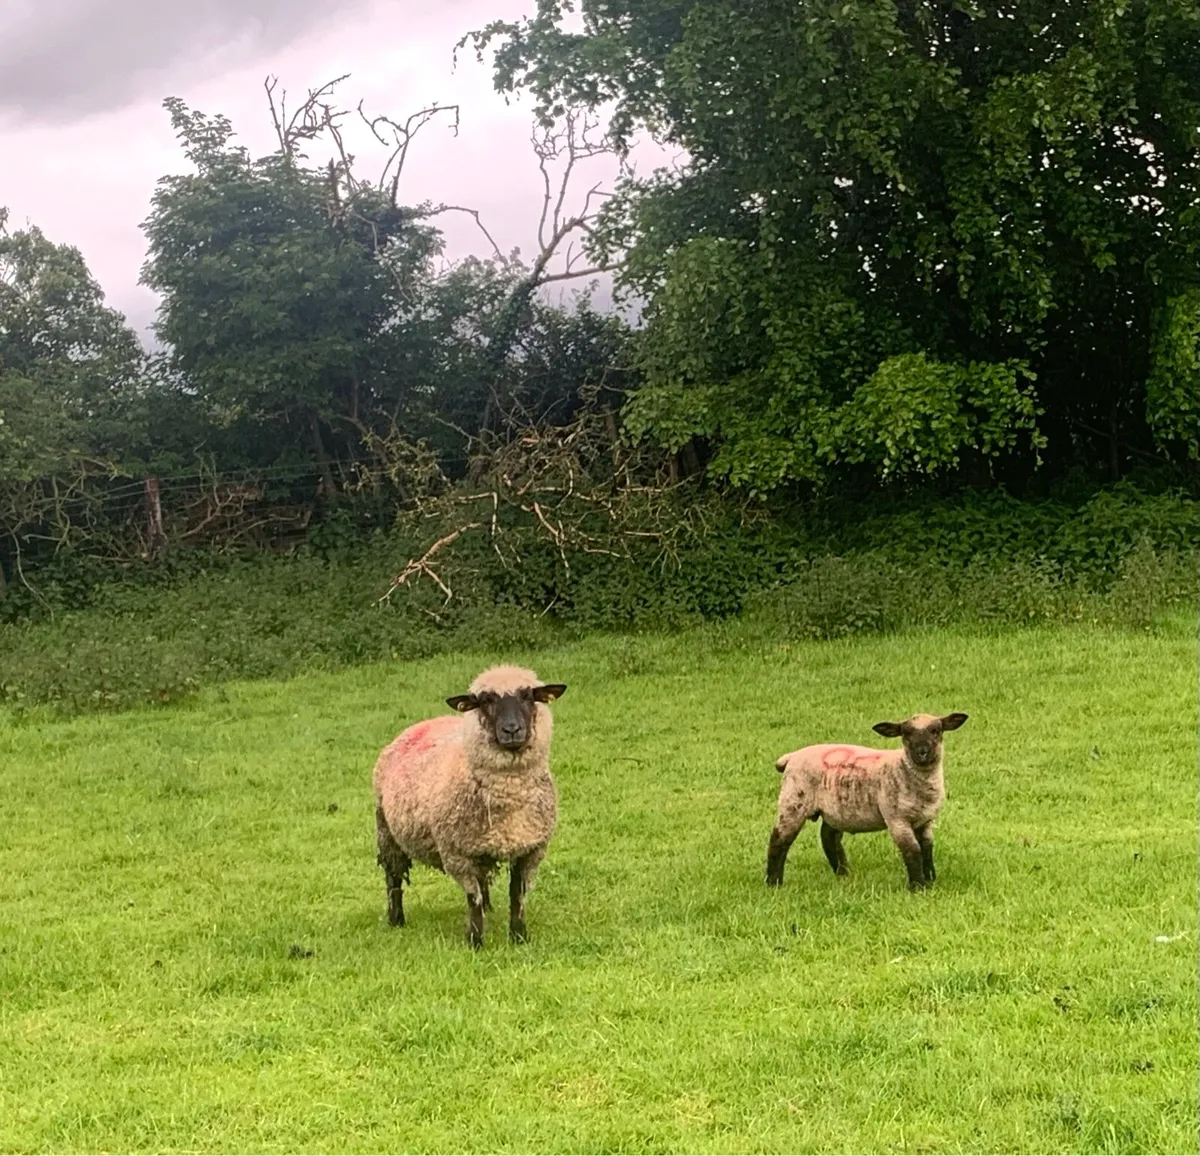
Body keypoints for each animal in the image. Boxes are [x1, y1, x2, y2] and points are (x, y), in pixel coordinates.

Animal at [373, 665, 567, 948]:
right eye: (486, 700)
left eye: (528, 696)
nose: (511, 730)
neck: (510, 796)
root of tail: (420, 724)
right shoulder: (458, 854)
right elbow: (472, 899)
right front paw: (476, 942)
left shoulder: (531, 850)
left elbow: (517, 896)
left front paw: (519, 937)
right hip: (386, 830)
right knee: (393, 878)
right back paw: (396, 919)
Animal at [765, 712, 968, 891]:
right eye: (906, 733)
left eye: (936, 730)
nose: (922, 752)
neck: (904, 768)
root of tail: (791, 756)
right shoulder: (897, 819)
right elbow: (912, 850)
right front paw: (918, 886)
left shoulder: (926, 820)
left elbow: (927, 848)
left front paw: (930, 879)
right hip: (793, 800)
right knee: (779, 840)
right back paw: (773, 883)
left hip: (836, 808)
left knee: (828, 837)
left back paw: (843, 873)